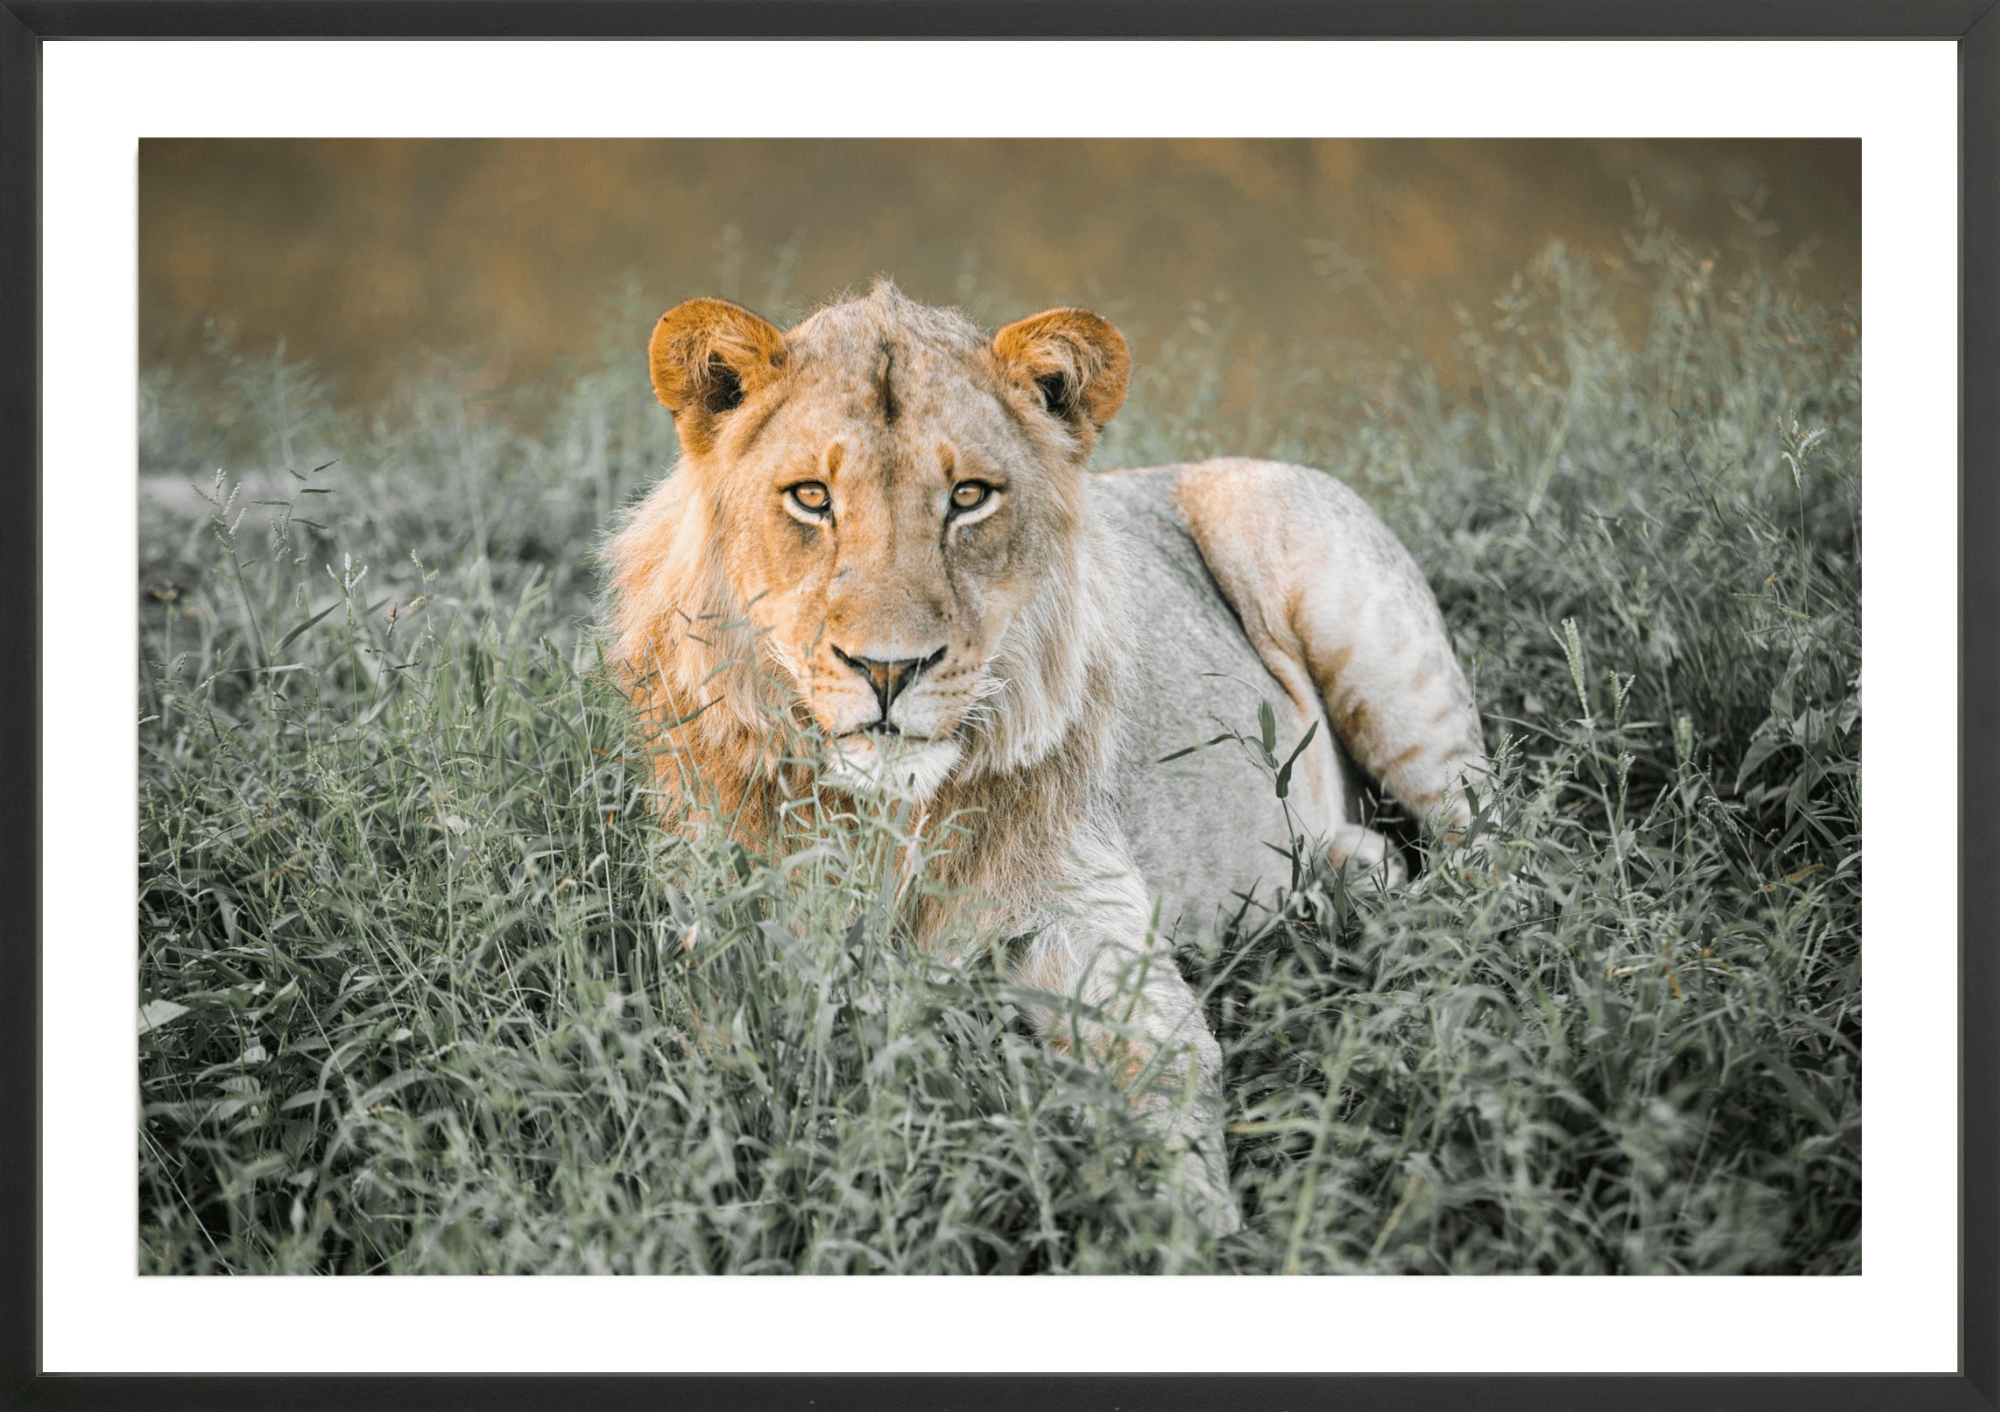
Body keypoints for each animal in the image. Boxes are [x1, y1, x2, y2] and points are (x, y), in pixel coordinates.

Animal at [605, 280, 1487, 1236]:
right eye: (811, 497)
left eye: (968, 497)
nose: (888, 668)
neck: (892, 826)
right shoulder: (720, 923)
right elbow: (711, 1066)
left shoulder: (1085, 908)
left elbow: (1165, 1064)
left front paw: (1196, 1232)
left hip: (1383, 657)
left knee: (1498, 854)